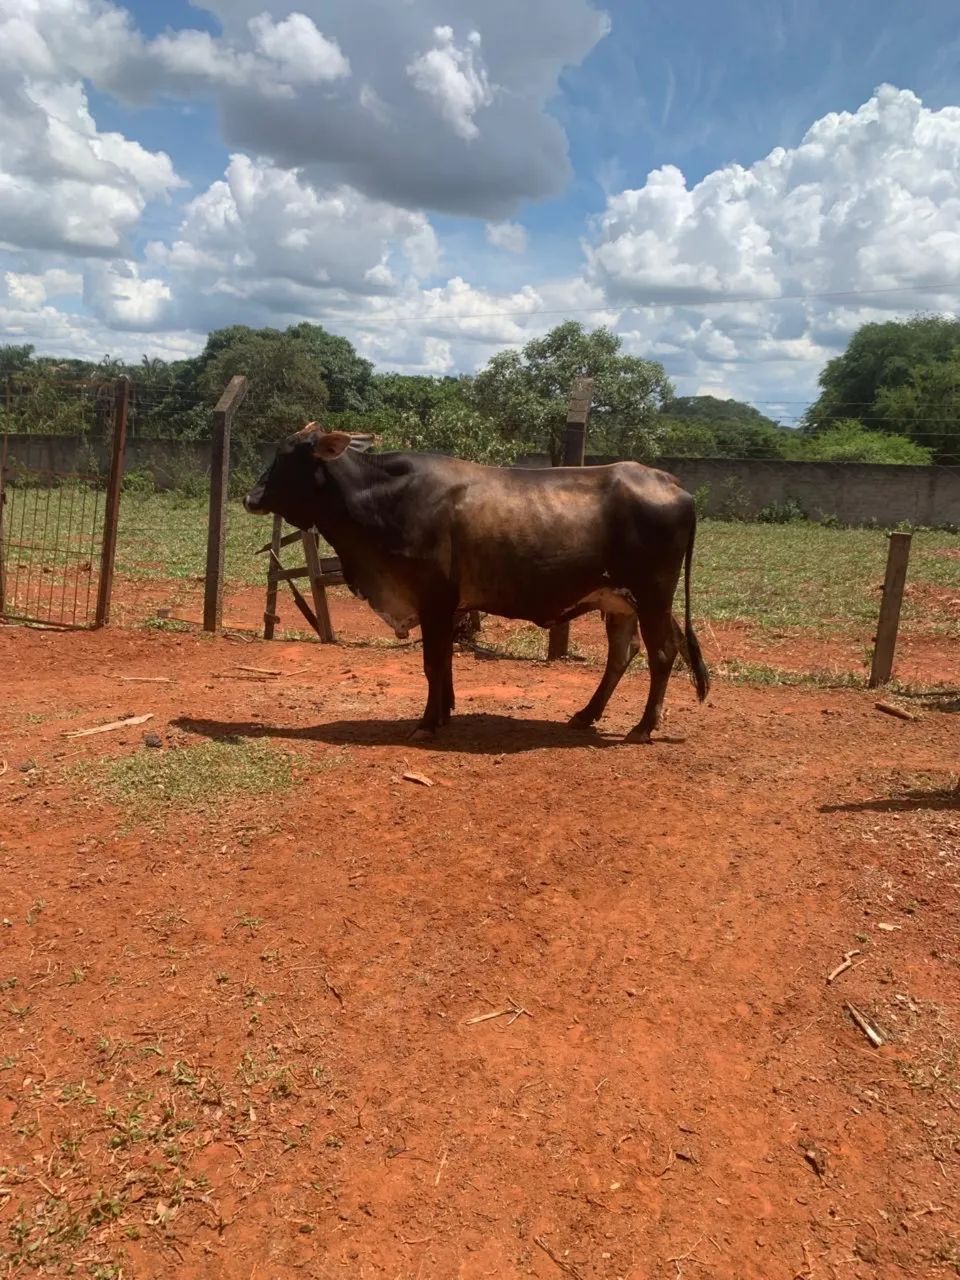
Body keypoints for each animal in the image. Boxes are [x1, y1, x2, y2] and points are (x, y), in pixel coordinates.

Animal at [244, 424, 710, 742]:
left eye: (288, 457)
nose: (250, 498)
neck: (384, 498)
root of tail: (669, 481)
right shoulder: (448, 607)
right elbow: (444, 662)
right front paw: (444, 712)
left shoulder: (434, 599)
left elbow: (433, 663)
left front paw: (427, 724)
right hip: (620, 602)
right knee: (623, 654)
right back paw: (586, 714)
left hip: (652, 596)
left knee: (663, 654)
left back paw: (643, 727)